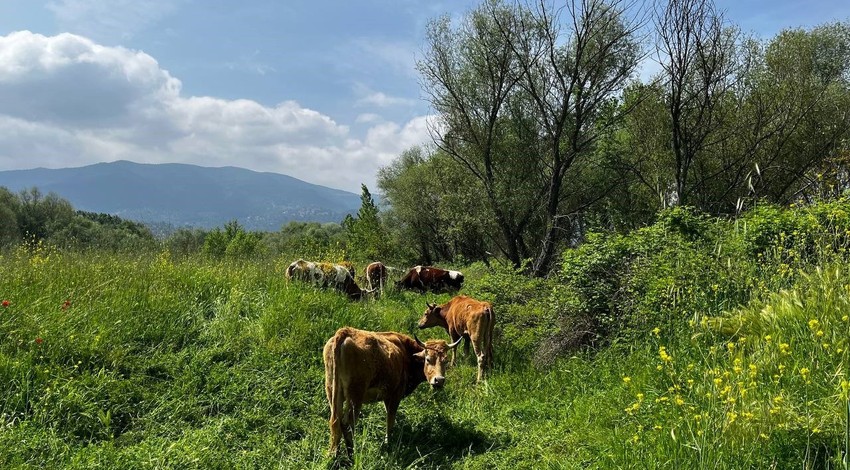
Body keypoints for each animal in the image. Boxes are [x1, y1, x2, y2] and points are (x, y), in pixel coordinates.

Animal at [322, 326, 460, 456]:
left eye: (446, 361)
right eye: (428, 359)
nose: (439, 380)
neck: (405, 353)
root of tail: (345, 332)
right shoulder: (395, 395)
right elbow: (390, 419)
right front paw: (388, 443)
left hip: (333, 391)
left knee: (335, 422)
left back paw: (333, 454)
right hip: (355, 396)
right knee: (347, 424)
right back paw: (351, 454)